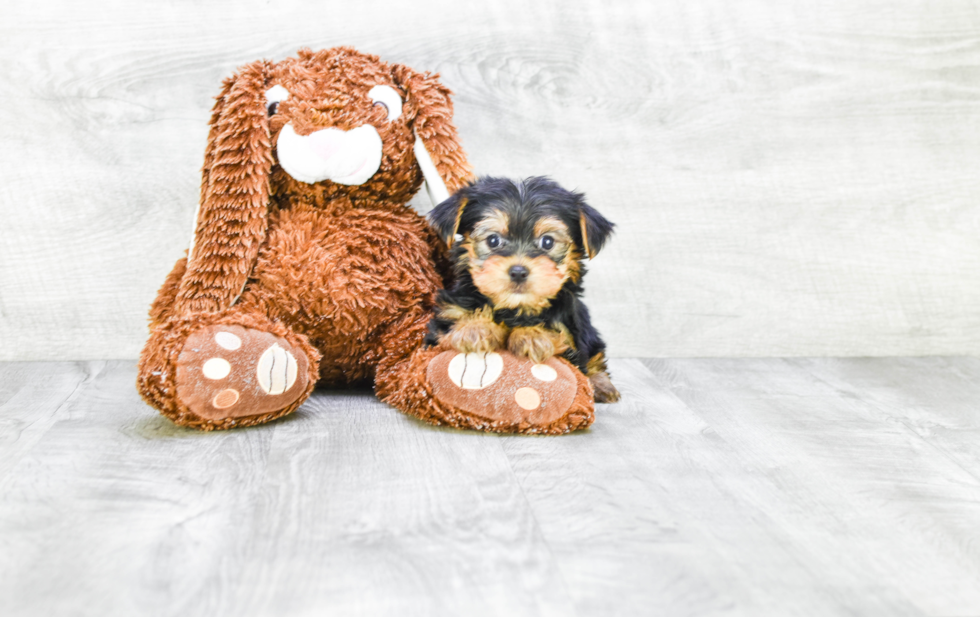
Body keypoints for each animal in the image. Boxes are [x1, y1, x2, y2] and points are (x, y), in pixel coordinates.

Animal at [422, 176, 620, 402]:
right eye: (493, 240)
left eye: (547, 242)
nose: (518, 272)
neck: (514, 308)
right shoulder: (444, 320)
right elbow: (449, 330)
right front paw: (475, 328)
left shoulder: (570, 340)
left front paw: (533, 336)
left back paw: (602, 385)